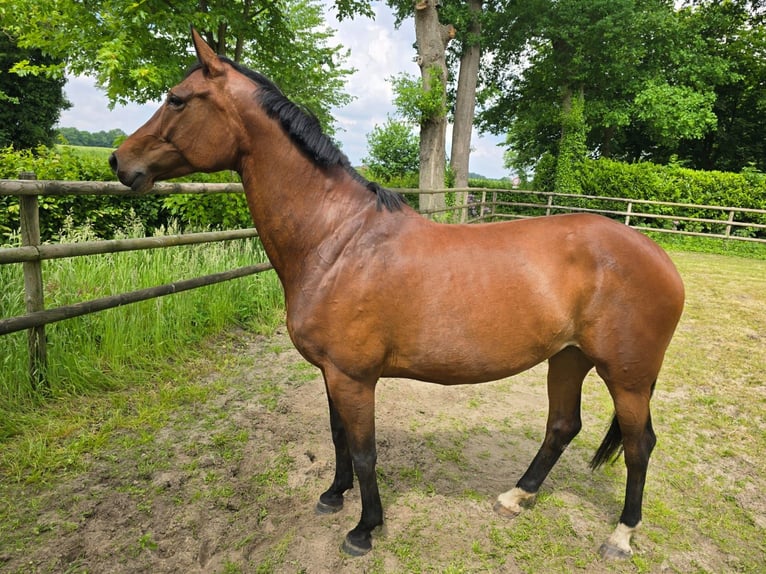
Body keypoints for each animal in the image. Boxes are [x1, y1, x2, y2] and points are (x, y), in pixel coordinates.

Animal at [110, 28, 685, 560]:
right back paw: (516, 497)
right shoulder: (332, 373)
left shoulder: (354, 376)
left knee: (639, 445)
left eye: (177, 99)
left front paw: (364, 528)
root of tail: (659, 257)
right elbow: (339, 437)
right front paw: (333, 495)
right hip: (568, 358)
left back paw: (621, 535)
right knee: (563, 426)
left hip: (627, 377)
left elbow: (365, 451)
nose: (119, 161)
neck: (338, 239)